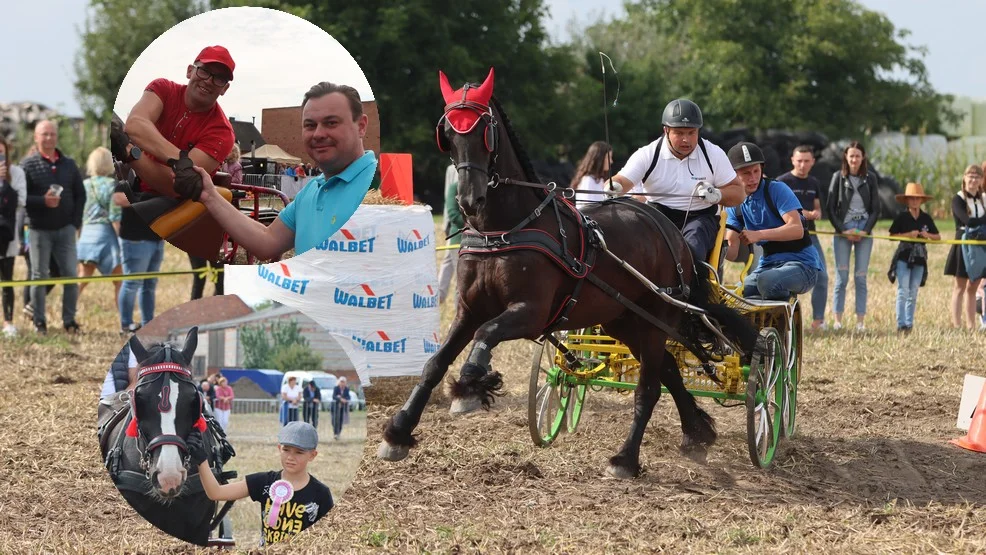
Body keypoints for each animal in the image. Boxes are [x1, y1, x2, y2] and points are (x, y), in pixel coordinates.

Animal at [374, 69, 752, 478]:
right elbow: (434, 364)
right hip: (625, 320)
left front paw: (472, 383)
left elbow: (485, 334)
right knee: (667, 367)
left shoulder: (530, 312)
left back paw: (626, 459)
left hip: (655, 319)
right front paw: (398, 432)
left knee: (650, 387)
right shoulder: (468, 309)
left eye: (484, 131)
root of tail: (671, 232)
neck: (504, 229)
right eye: (447, 132)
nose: (469, 200)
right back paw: (696, 432)